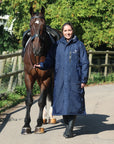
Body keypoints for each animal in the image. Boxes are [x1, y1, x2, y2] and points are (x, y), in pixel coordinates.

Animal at [21, 6, 62, 135]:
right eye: (31, 25)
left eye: (43, 25)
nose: (37, 49)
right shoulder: (28, 77)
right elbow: (30, 100)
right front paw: (26, 125)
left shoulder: (46, 78)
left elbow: (41, 101)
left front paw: (38, 125)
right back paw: (44, 117)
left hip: (52, 78)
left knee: (51, 95)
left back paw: (51, 117)